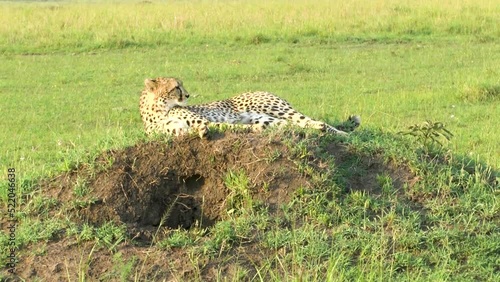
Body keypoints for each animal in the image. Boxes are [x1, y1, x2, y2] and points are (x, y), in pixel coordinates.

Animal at [140, 77, 360, 139]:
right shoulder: (175, 131)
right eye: (176, 87)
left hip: (276, 109)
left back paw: (340, 133)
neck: (159, 110)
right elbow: (186, 130)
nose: (186, 95)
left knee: (311, 121)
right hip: (269, 118)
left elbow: (224, 126)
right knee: (294, 125)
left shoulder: (204, 119)